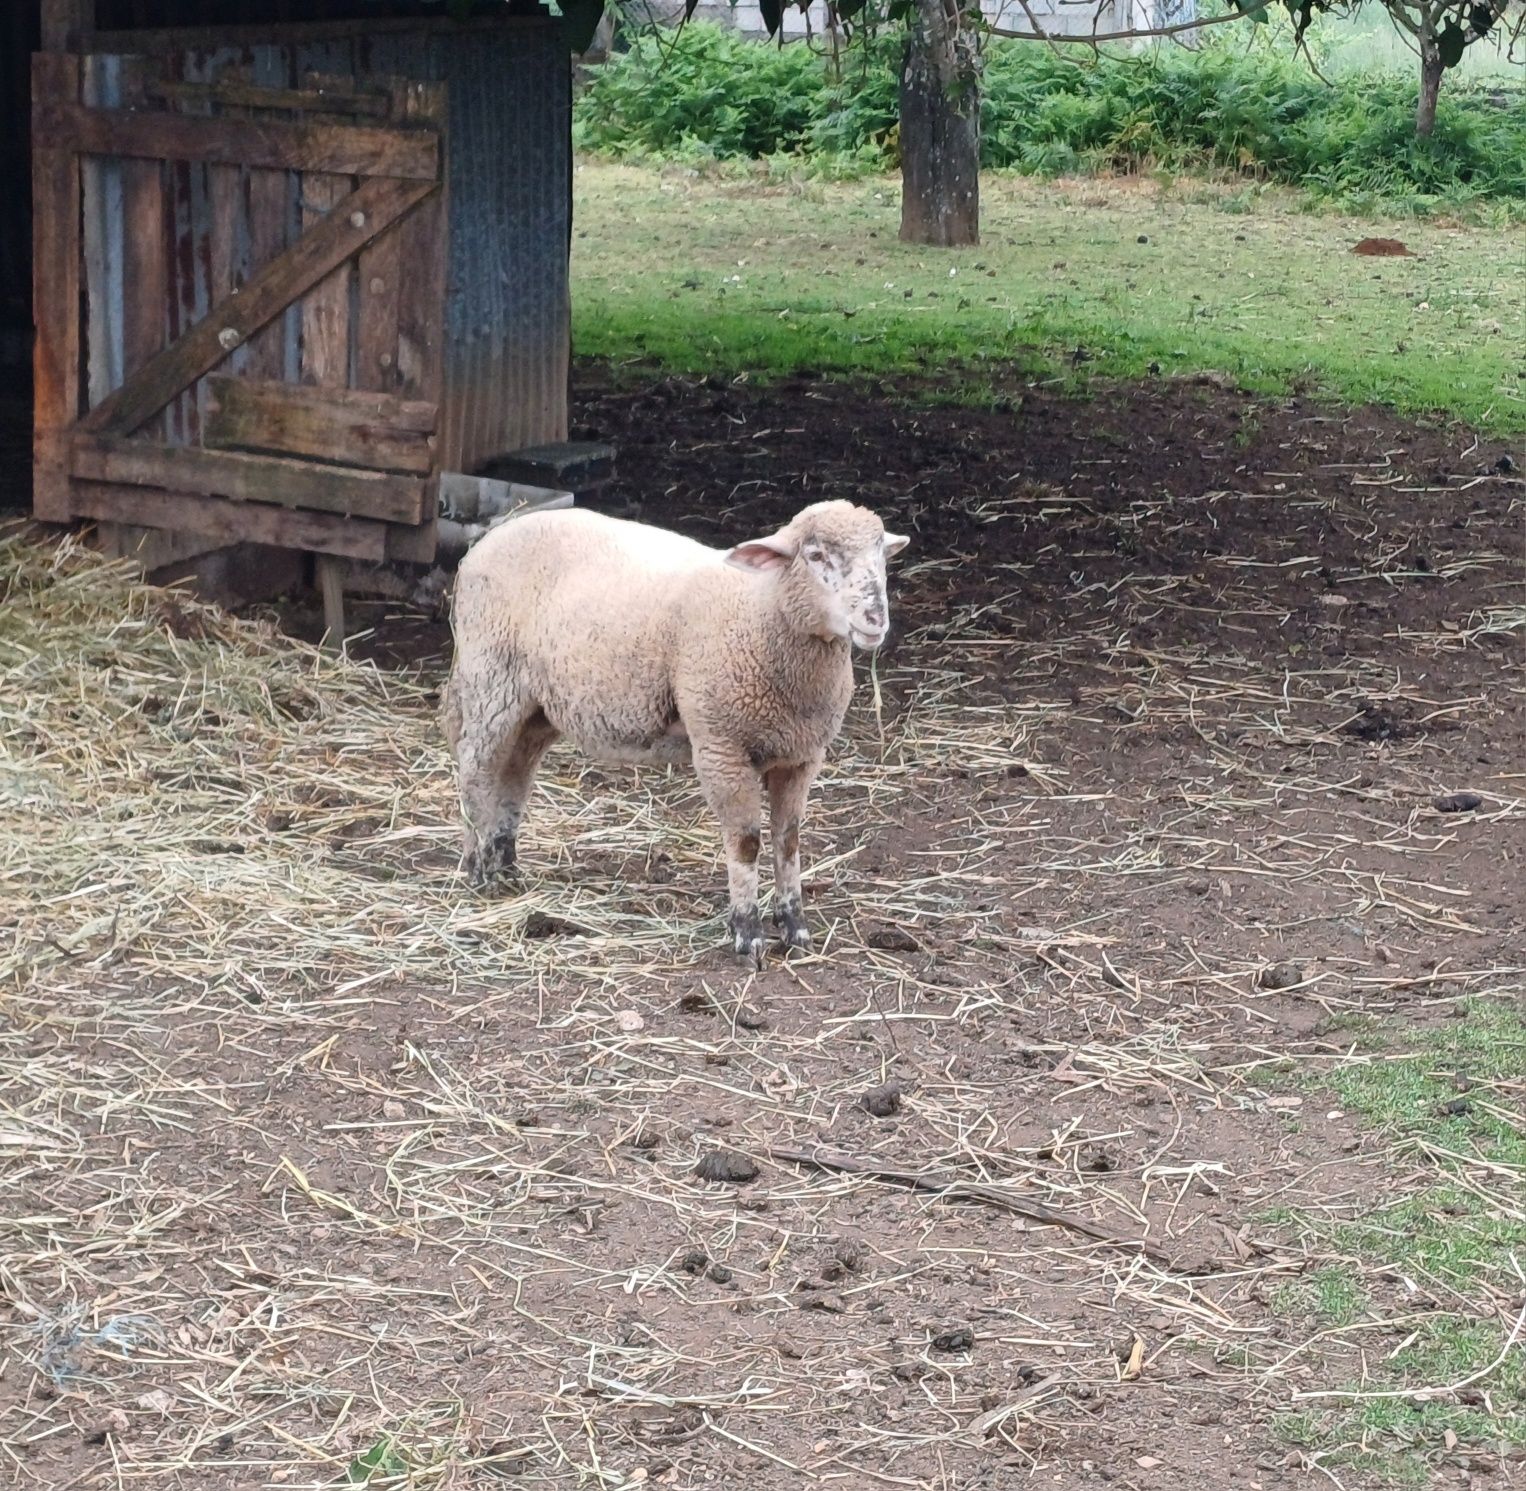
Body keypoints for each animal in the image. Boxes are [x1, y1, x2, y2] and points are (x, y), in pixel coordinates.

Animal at [445, 500, 909, 964]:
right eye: (816, 556)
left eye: (881, 557)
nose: (875, 619)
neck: (761, 610)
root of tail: (488, 541)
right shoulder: (721, 747)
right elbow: (746, 843)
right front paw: (748, 934)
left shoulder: (802, 755)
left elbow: (788, 841)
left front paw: (795, 928)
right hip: (492, 676)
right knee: (475, 769)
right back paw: (478, 869)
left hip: (538, 705)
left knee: (515, 772)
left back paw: (506, 865)